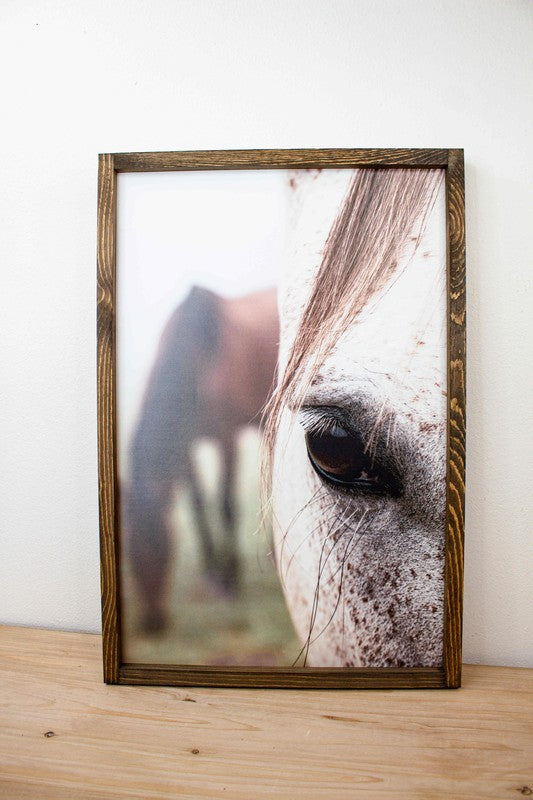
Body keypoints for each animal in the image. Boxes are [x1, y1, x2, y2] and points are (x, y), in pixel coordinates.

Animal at [125, 286, 278, 632]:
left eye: (164, 545)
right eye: (128, 550)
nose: (153, 622)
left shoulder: (226, 437)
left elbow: (225, 504)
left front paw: (230, 579)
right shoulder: (187, 447)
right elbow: (197, 505)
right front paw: (211, 575)